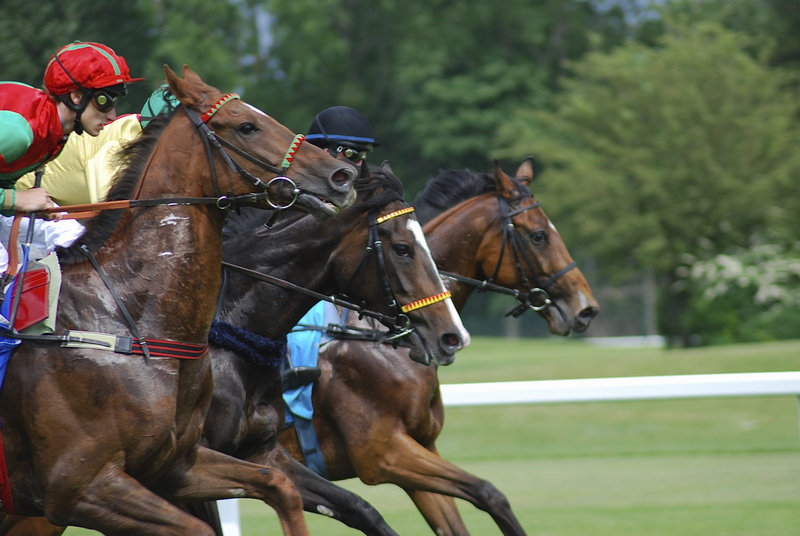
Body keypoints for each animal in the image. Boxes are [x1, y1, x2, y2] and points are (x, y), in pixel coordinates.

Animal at [0, 65, 358, 536]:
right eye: (247, 126)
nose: (341, 175)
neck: (128, 320)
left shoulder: (177, 464)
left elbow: (279, 484)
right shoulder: (81, 487)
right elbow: (200, 528)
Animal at [276, 159, 599, 536]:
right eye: (539, 236)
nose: (586, 308)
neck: (380, 340)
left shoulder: (420, 447)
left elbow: (467, 512)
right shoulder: (383, 454)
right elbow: (488, 492)